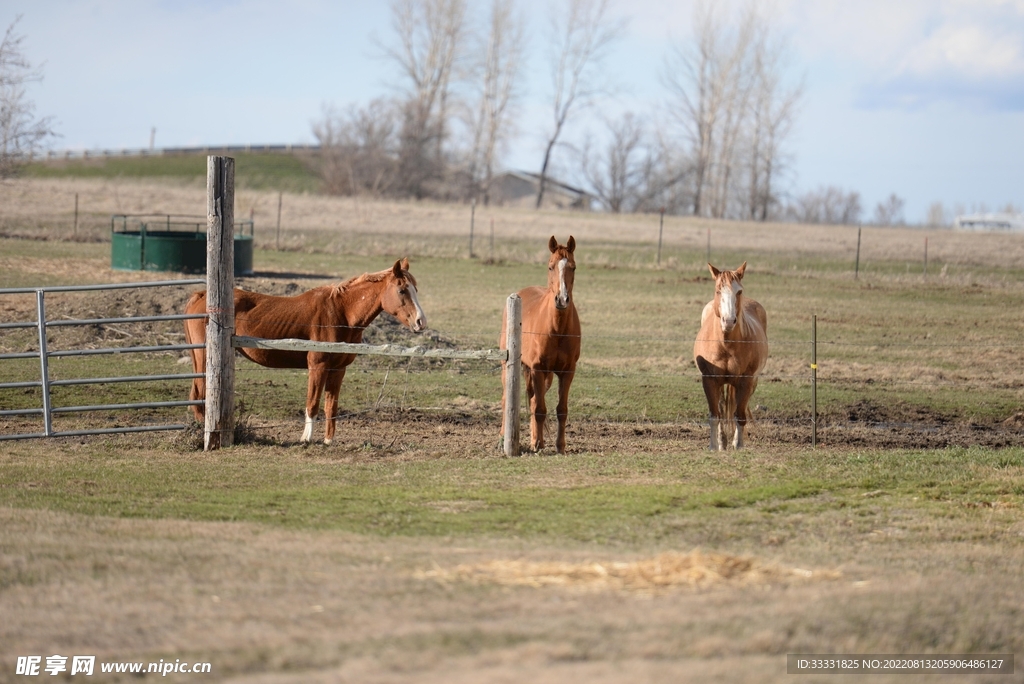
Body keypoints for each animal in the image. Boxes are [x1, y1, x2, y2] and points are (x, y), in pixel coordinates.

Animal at [183, 259, 427, 445]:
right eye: (402, 290)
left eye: (416, 289)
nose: (420, 322)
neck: (341, 314)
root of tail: (201, 295)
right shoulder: (317, 366)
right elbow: (313, 404)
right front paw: (306, 439)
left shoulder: (338, 370)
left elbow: (331, 406)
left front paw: (329, 441)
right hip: (203, 358)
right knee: (199, 394)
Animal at [500, 236, 581, 453]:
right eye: (550, 266)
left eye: (573, 267)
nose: (561, 299)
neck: (557, 328)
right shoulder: (537, 369)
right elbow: (539, 409)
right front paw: (537, 445)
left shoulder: (567, 372)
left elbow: (561, 410)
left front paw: (559, 446)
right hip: (511, 368)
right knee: (507, 399)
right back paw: (504, 436)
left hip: (545, 377)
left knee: (533, 399)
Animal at [693, 262, 768, 450]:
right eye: (718, 290)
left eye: (739, 291)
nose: (728, 321)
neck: (726, 344)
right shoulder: (709, 380)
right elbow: (715, 415)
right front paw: (713, 446)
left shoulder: (746, 381)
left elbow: (740, 415)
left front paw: (739, 445)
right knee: (721, 409)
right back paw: (722, 441)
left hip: (751, 383)